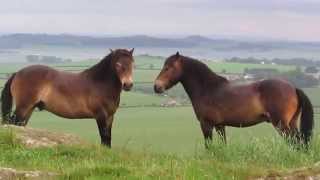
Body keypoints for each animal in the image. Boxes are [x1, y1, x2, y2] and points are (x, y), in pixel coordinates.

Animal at [0, 48, 135, 147]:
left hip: (29, 108)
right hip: (23, 108)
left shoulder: (110, 117)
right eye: (118, 64)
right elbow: (104, 137)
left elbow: (108, 138)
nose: (128, 85)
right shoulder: (100, 116)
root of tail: (17, 73)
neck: (99, 83)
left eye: (132, 63)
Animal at [154, 52, 314, 148]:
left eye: (168, 68)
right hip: (291, 123)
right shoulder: (220, 126)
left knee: (296, 142)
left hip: (282, 125)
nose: (156, 86)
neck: (208, 88)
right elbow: (223, 145)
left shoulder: (206, 125)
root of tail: (293, 88)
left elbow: (209, 147)